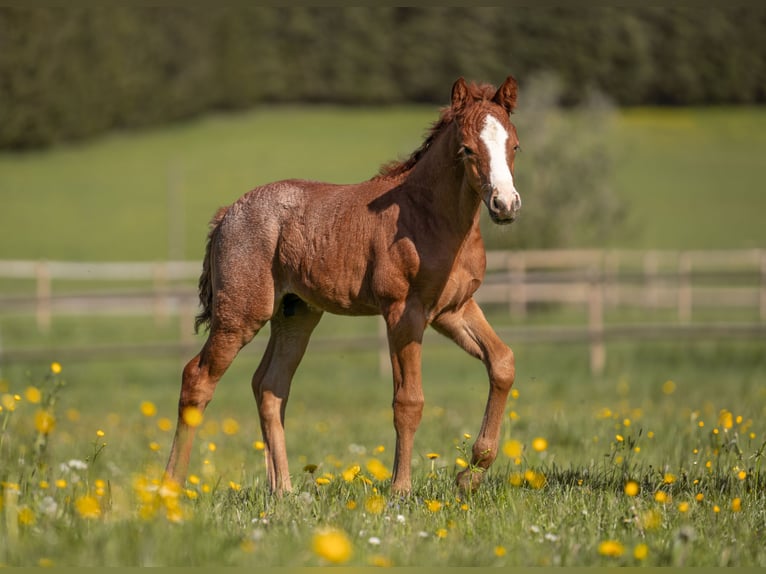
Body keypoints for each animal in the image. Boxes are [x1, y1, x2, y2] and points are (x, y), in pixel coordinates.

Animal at [166, 76, 524, 498]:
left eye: (514, 146)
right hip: (240, 315)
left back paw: (284, 490)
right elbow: (408, 401)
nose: (505, 204)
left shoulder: (453, 309)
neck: (429, 216)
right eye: (467, 149)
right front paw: (400, 489)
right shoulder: (403, 312)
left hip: (295, 315)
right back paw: (169, 487)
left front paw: (470, 473)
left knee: (270, 386)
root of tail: (227, 215)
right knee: (197, 378)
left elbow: (502, 363)